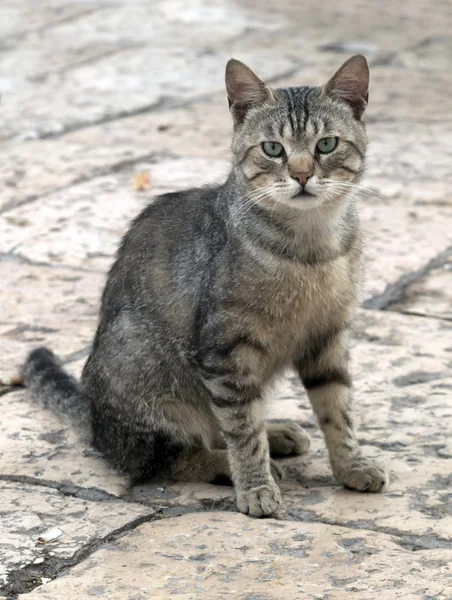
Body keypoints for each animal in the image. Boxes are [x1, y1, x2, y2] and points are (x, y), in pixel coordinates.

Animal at [22, 54, 388, 516]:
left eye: (326, 145)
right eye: (273, 149)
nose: (302, 175)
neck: (311, 246)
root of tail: (94, 420)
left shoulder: (329, 337)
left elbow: (337, 410)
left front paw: (351, 466)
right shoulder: (226, 352)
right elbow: (242, 431)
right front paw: (255, 487)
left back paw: (278, 434)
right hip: (145, 370)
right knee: (167, 456)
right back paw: (227, 463)